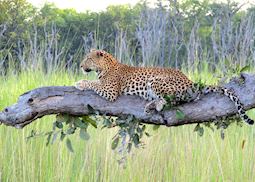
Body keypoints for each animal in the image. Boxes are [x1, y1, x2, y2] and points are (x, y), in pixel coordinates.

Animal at [74, 49, 254, 124]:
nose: (81, 66)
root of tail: (190, 80)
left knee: (177, 100)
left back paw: (156, 105)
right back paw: (151, 105)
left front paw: (80, 83)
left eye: (88, 58)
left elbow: (94, 84)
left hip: (156, 81)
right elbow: (95, 82)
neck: (105, 66)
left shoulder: (110, 91)